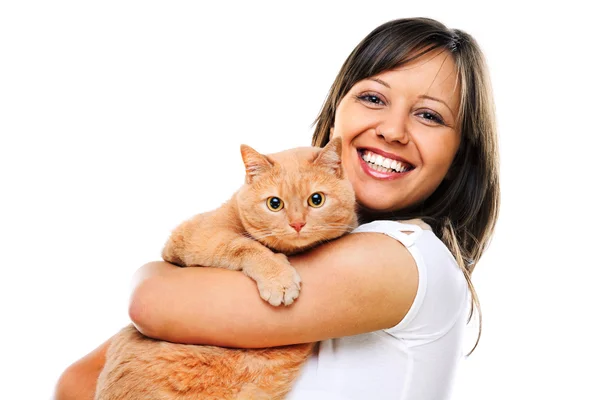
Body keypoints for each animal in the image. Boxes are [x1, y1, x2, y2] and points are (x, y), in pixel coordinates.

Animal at [94, 138, 356, 400]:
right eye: (274, 203)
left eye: (316, 200)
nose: (297, 224)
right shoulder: (197, 237)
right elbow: (242, 245)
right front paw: (278, 279)